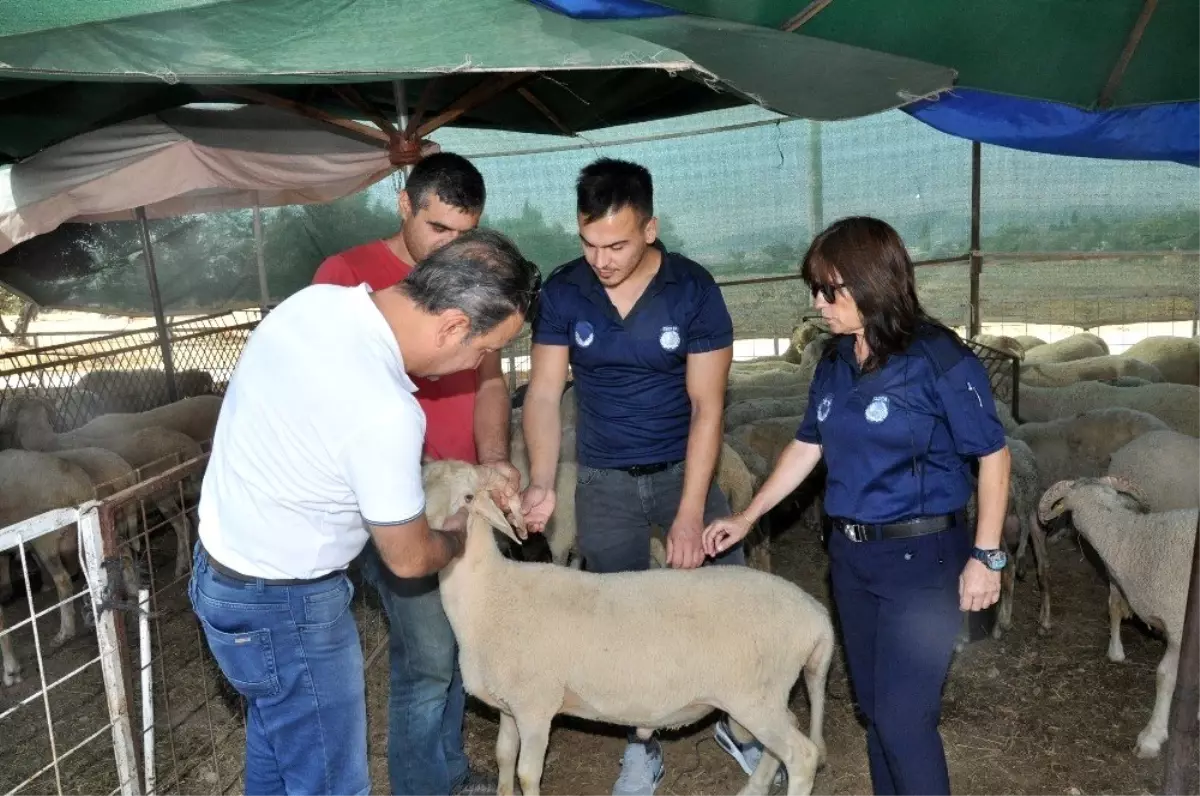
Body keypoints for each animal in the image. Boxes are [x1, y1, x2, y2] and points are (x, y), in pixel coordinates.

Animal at [429, 461, 835, 796]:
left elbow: (527, 774)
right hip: (768, 697)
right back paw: (754, 789)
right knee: (785, 734)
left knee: (802, 755)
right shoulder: (509, 707)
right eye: (421, 493)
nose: (431, 540)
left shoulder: (535, 706)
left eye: (467, 497)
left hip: (754, 698)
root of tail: (816, 615)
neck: (490, 593)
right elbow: (503, 758)